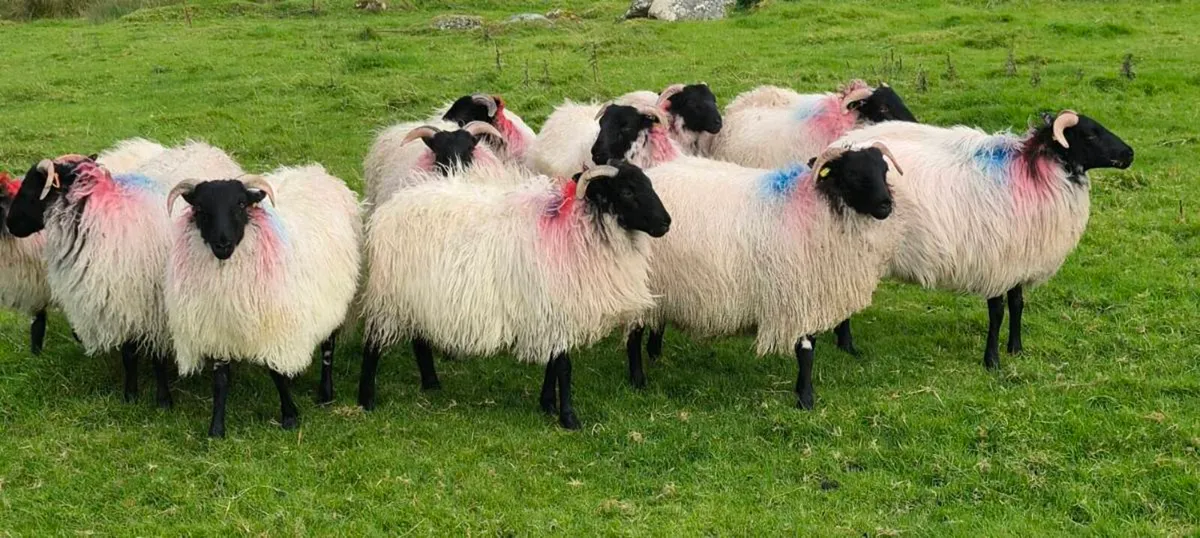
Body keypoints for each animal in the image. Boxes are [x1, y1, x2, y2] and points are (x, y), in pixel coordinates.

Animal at [5, 141, 244, 407]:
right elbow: (129, 354)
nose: (10, 224)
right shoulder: (123, 301)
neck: (105, 222)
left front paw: (163, 399)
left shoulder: (156, 307)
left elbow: (157, 356)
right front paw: (130, 395)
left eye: (31, 189)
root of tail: (205, 147)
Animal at [166, 165, 361, 437]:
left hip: (334, 300)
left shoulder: (275, 326)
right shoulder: (219, 328)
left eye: (240, 204)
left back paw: (325, 393)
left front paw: (290, 416)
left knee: (328, 347)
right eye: (201, 208)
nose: (222, 243)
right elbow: (220, 381)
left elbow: (275, 373)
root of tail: (316, 171)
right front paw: (216, 428)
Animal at [358, 163, 671, 429]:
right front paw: (569, 418)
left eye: (648, 184)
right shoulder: (556, 308)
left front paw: (547, 404)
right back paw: (366, 400)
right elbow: (564, 366)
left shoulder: (551, 312)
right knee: (373, 345)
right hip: (390, 295)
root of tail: (389, 208)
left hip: (418, 296)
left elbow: (553, 364)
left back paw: (431, 382)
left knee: (420, 339)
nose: (666, 223)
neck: (576, 229)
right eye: (627, 191)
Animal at [626, 145, 907, 409]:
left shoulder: (811, 294)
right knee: (634, 333)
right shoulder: (797, 293)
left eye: (884, 170)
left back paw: (656, 356)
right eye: (852, 174)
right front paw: (805, 399)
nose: (886, 205)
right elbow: (806, 352)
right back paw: (638, 381)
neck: (816, 209)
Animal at [830, 110, 1134, 369]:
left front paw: (1016, 349)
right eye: (1090, 135)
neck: (1033, 171)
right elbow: (997, 312)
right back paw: (847, 346)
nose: (1129, 153)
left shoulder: (1018, 258)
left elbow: (1018, 304)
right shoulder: (996, 262)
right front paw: (992, 361)